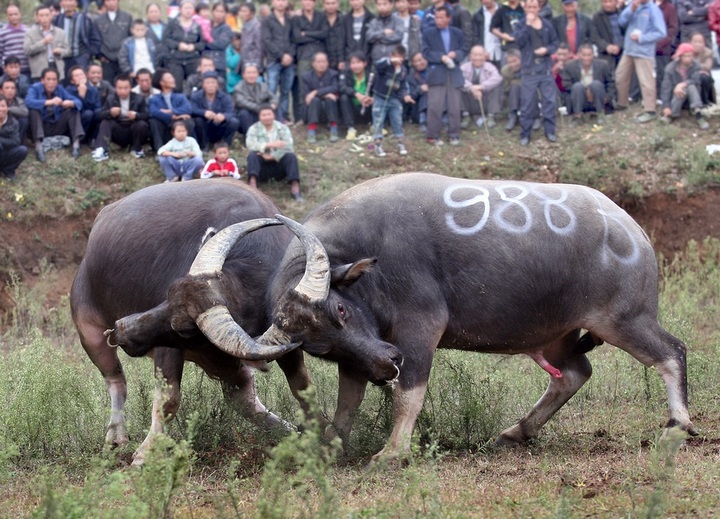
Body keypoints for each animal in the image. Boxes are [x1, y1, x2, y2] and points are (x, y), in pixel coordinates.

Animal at [69, 181, 312, 466]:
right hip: (89, 331)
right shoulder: (166, 350)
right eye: (169, 294)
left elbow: (301, 387)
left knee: (242, 398)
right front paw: (145, 454)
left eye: (185, 329)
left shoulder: (282, 344)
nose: (122, 329)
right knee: (116, 380)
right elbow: (168, 400)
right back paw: (115, 435)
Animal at [177, 174, 696, 464]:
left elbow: (411, 391)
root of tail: (628, 226)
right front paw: (333, 442)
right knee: (574, 372)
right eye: (319, 346)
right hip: (557, 334)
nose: (386, 363)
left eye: (341, 308)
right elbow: (348, 399)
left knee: (671, 352)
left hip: (623, 319)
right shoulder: (360, 354)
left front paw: (392, 453)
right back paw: (517, 431)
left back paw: (678, 426)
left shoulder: (419, 330)